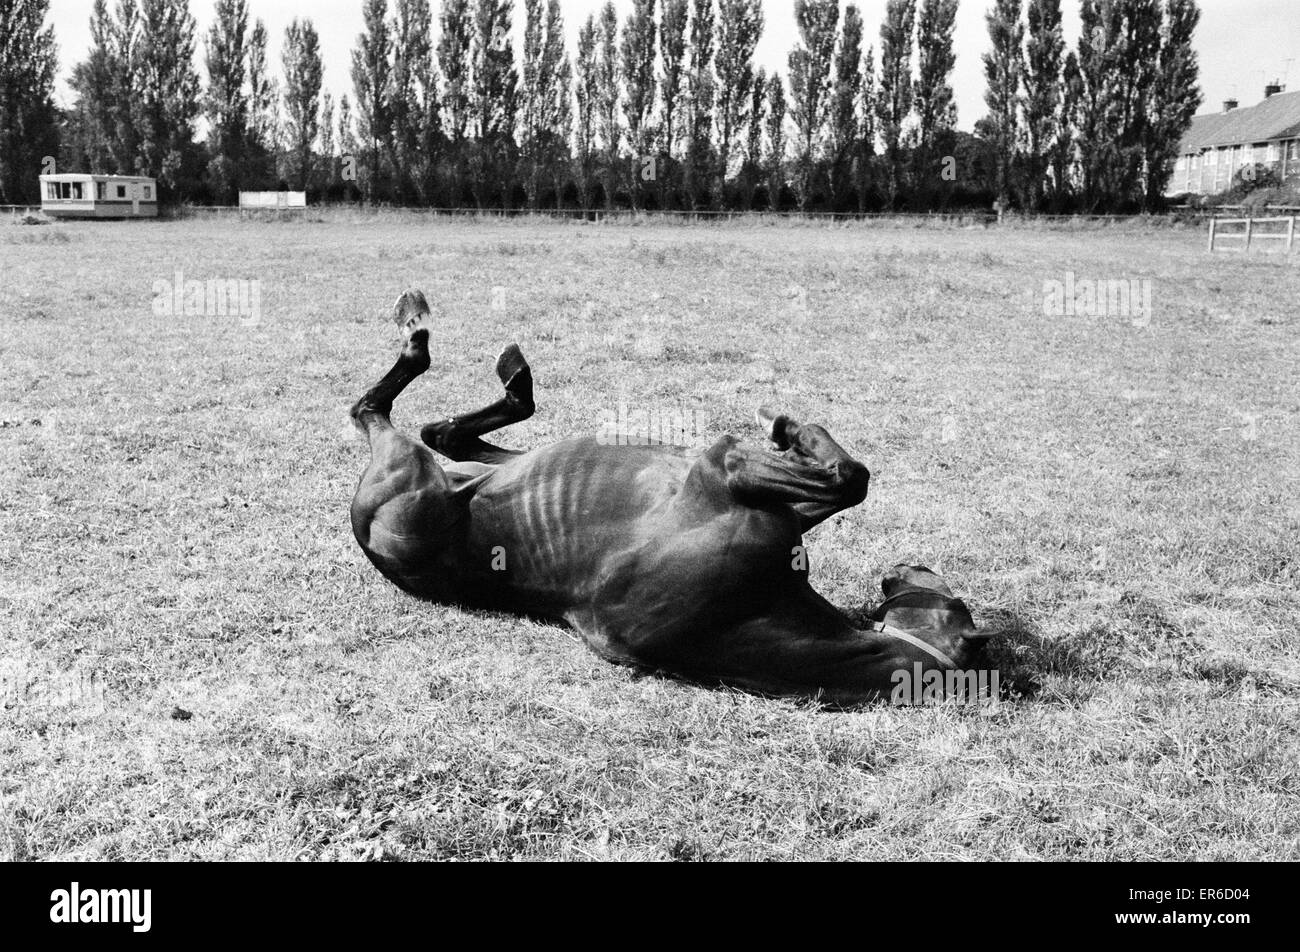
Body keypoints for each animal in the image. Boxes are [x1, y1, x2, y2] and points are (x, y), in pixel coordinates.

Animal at [345, 290, 982, 707]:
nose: (909, 566)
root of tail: (368, 537)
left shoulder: (728, 474)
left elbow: (848, 478)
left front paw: (789, 429)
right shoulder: (727, 469)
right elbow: (848, 478)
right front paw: (789, 428)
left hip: (418, 470)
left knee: (403, 419)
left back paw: (434, 339)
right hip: (431, 467)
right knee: (409, 419)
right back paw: (446, 342)